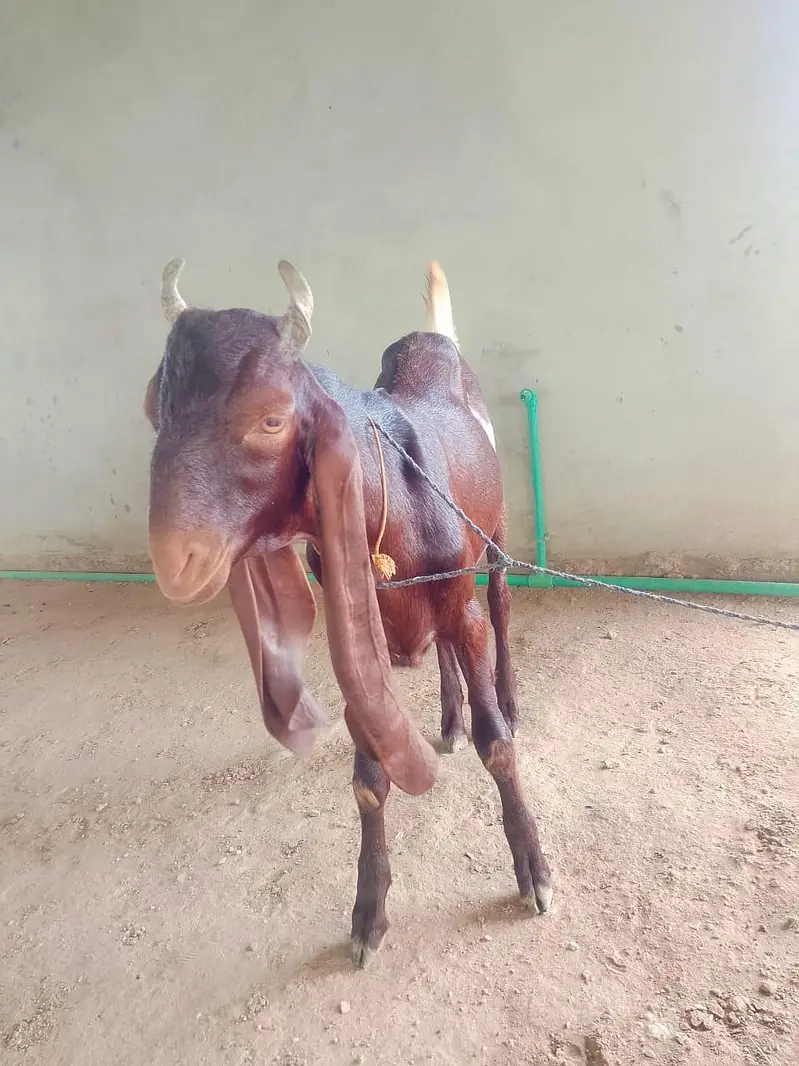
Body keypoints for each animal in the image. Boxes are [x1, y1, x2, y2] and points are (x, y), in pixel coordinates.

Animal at [144, 258, 552, 966]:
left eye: (271, 420)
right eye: (157, 407)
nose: (176, 556)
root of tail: (433, 338)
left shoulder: (461, 603)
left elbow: (497, 744)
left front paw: (533, 868)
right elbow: (368, 779)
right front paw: (368, 913)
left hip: (495, 530)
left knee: (500, 601)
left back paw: (504, 696)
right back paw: (448, 718)